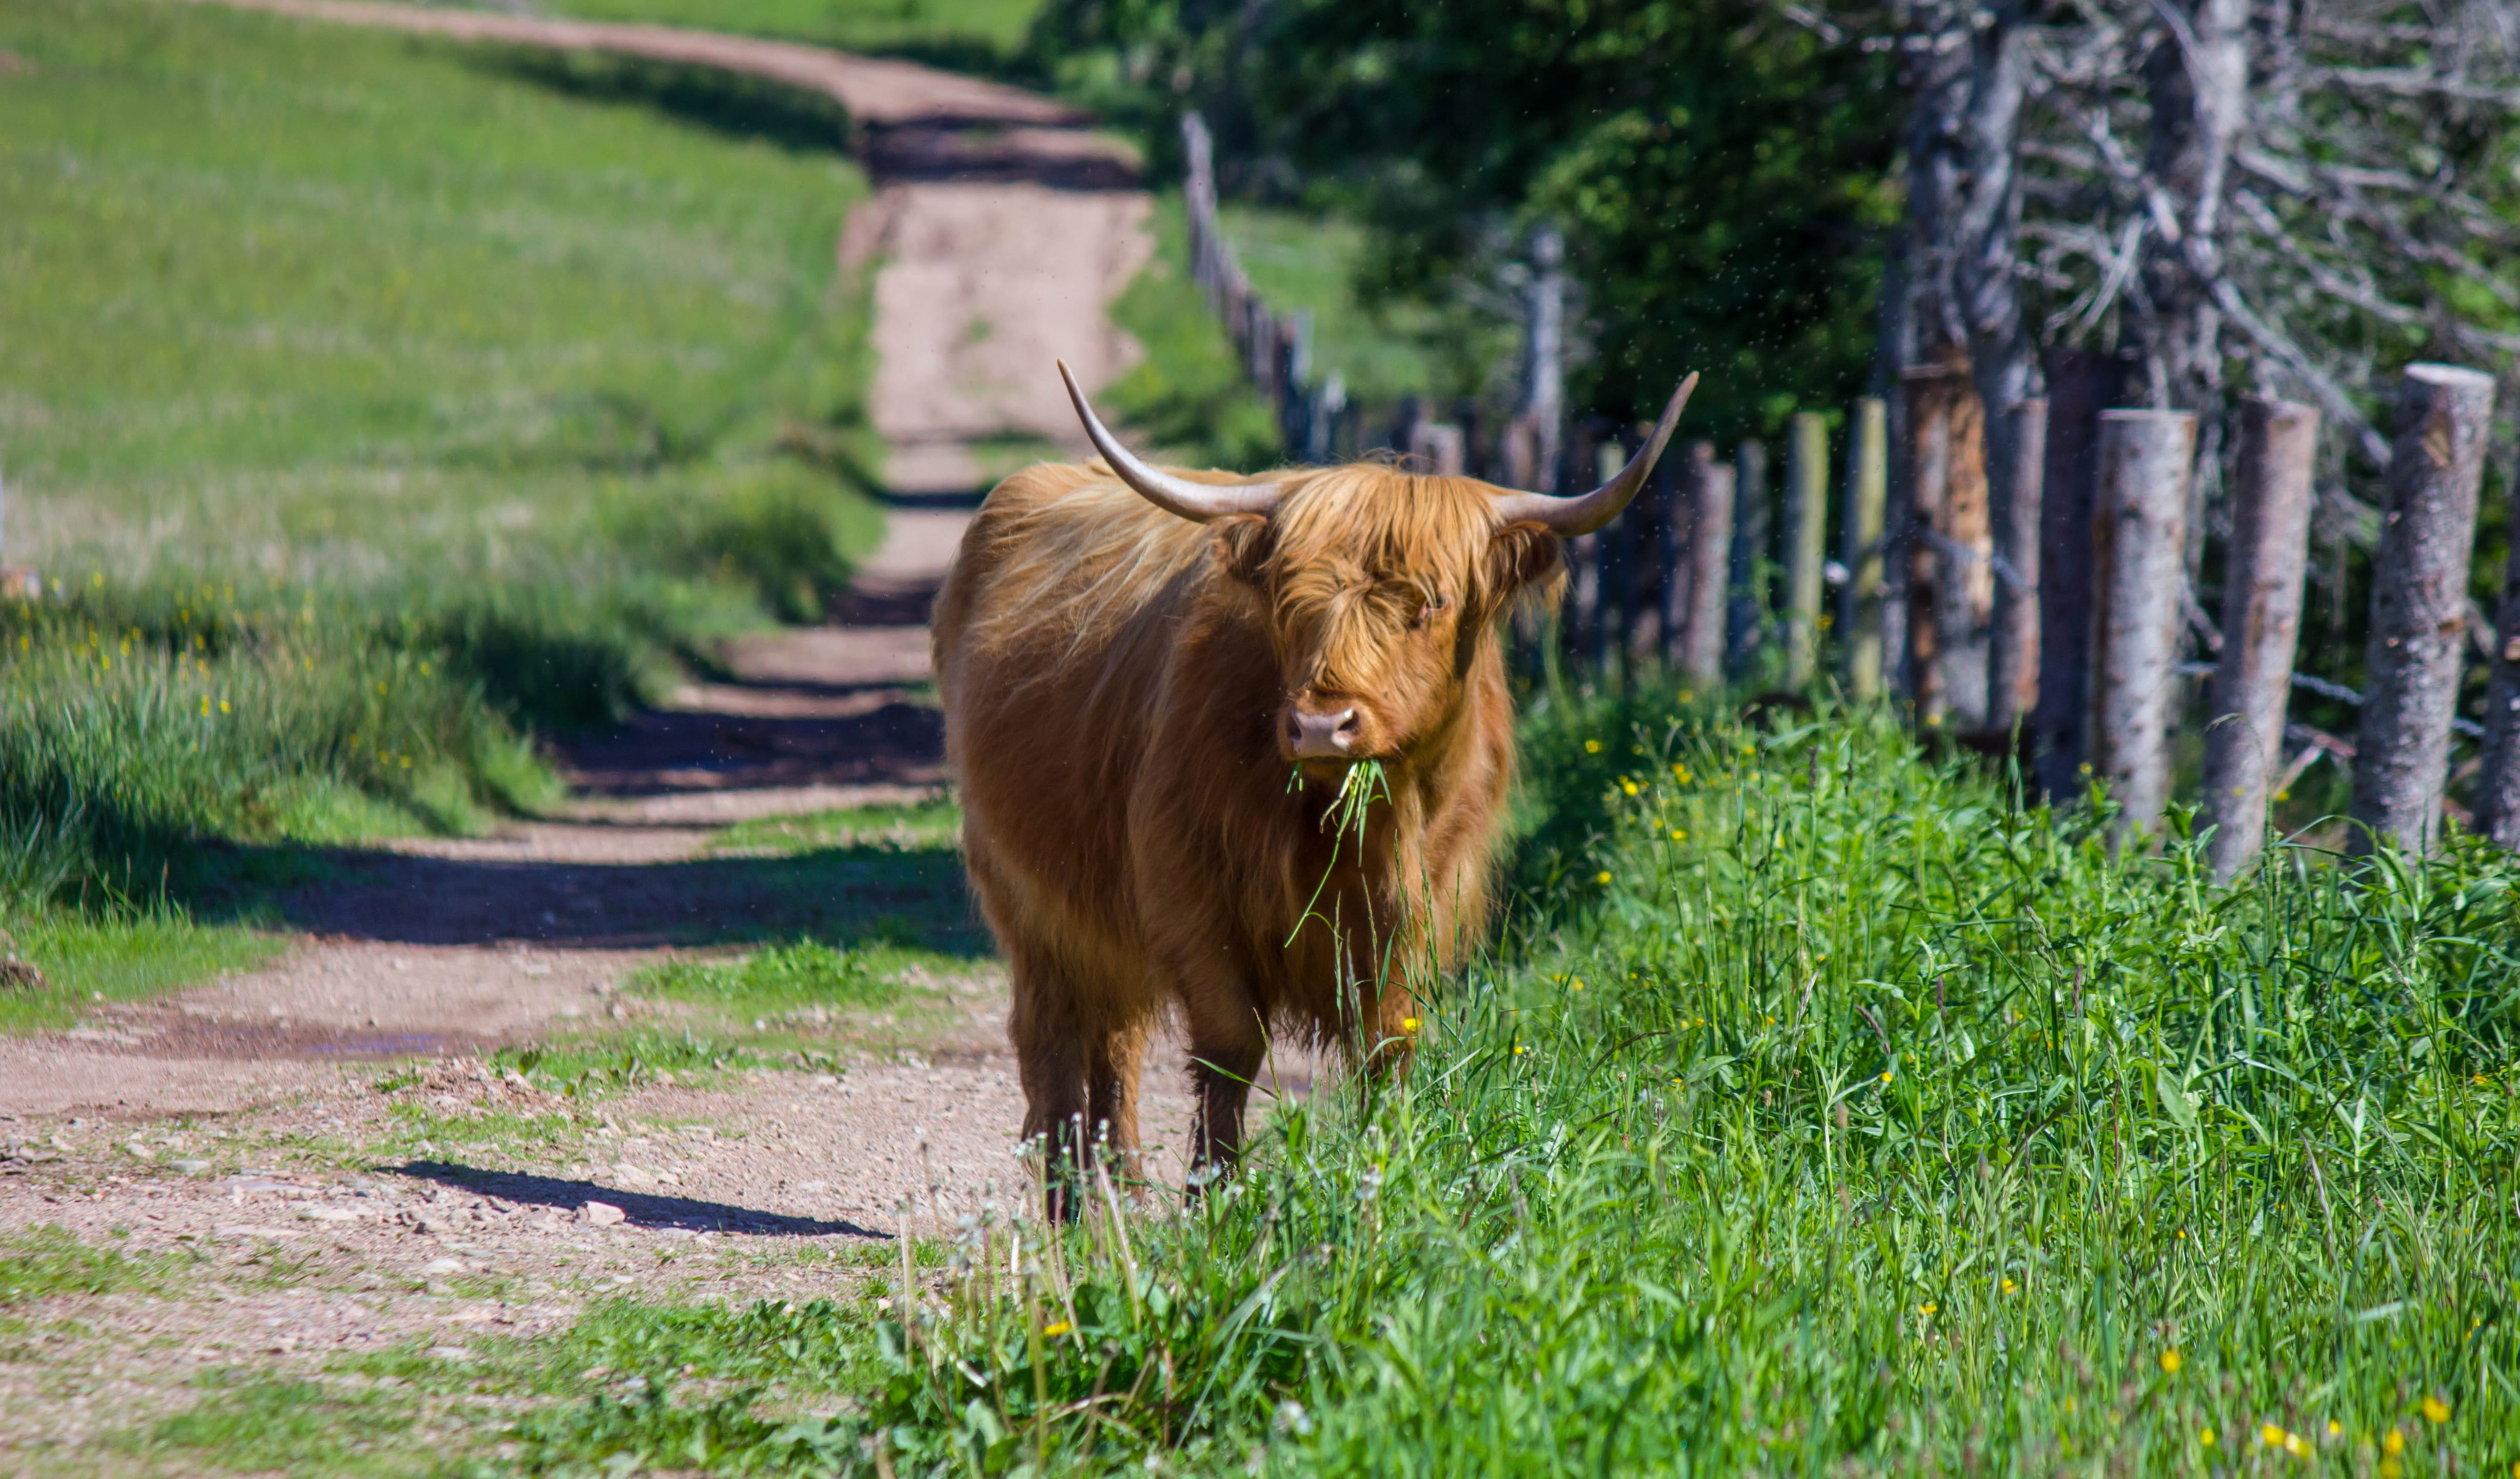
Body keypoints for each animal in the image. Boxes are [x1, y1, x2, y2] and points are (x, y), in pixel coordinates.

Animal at [932, 362, 1696, 1214]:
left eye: (1429, 602)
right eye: (1290, 601)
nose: (1321, 726)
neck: (1347, 828)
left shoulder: (1421, 907)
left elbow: (1386, 1050)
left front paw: (1379, 1182)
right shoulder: (1191, 895)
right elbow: (1229, 1050)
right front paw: (1214, 1202)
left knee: (1115, 1048)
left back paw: (1121, 1201)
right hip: (1031, 903)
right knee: (1057, 1043)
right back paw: (1074, 1216)